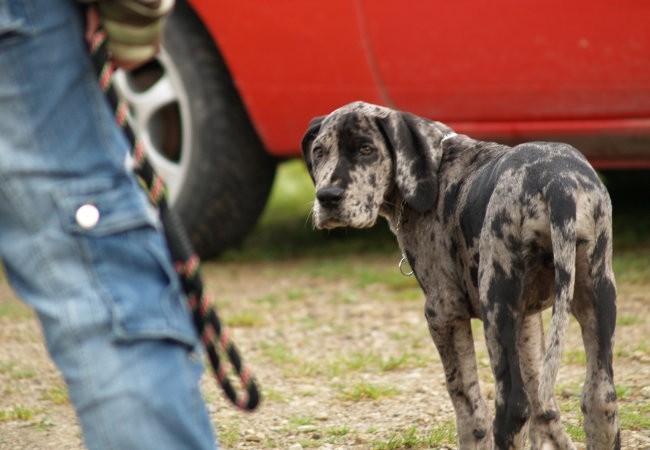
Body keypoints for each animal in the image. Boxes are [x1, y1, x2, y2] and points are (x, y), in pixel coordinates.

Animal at [298, 102, 616, 450]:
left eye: (366, 150)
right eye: (318, 151)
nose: (327, 197)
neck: (435, 169)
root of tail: (557, 185)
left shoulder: (444, 314)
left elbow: (468, 406)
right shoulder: (528, 319)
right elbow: (543, 405)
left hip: (497, 308)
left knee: (512, 406)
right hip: (597, 296)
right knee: (599, 398)